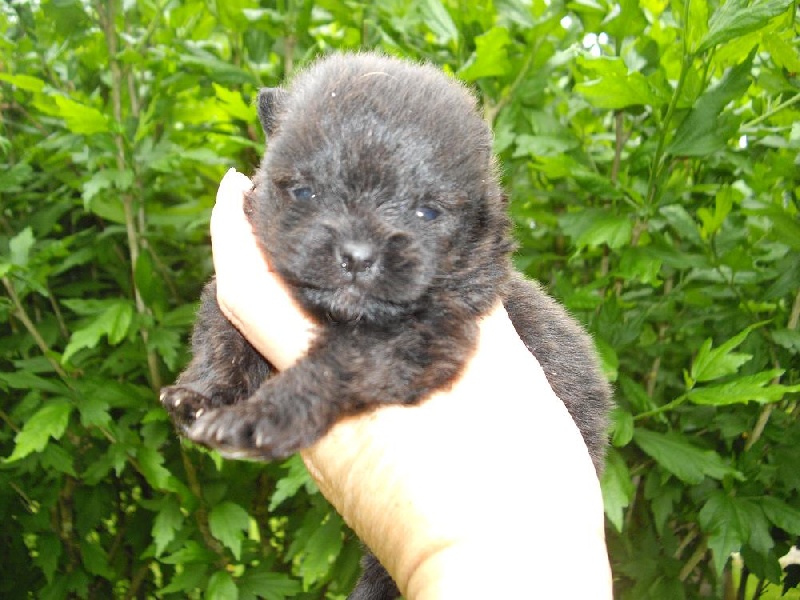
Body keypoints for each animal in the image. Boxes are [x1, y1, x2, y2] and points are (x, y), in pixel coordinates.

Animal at [162, 52, 612, 600]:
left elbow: (329, 368)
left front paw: (260, 418)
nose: (357, 256)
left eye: (427, 210)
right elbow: (221, 344)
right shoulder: (233, 291)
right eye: (307, 191)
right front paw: (197, 397)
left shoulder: (421, 338)